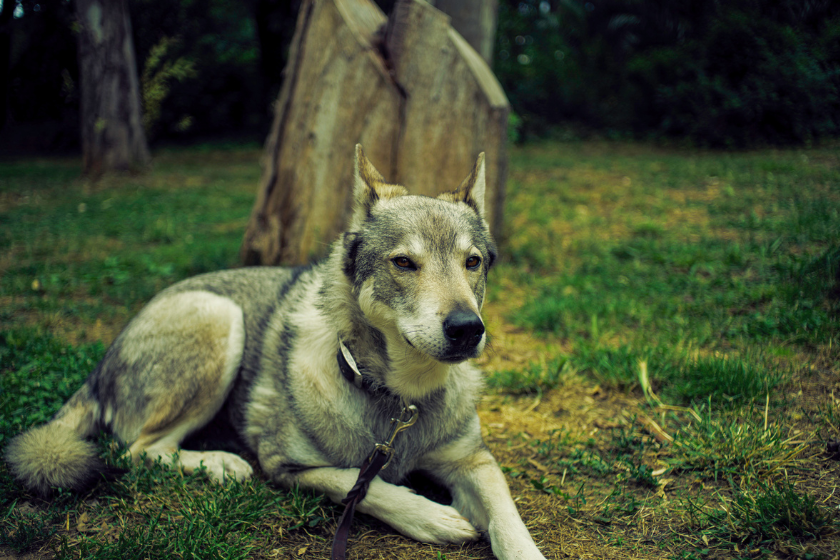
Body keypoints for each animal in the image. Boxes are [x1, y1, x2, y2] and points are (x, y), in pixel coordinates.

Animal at [6, 145, 548, 560]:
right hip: (220, 319)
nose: (467, 329)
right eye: (403, 263)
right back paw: (219, 464)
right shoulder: (287, 465)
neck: (399, 404)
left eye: (471, 262)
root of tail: (102, 363)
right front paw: (432, 517)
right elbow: (363, 484)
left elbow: (509, 523)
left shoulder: (474, 462)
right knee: (138, 449)